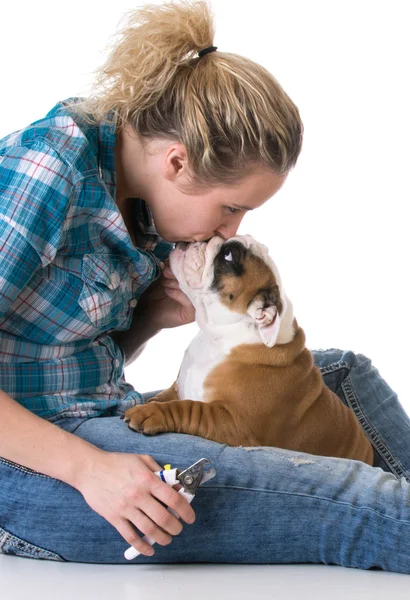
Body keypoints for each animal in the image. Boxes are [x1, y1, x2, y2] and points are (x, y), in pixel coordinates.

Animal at [125, 234, 374, 464]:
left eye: (228, 255)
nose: (203, 238)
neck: (217, 336)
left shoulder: (234, 423)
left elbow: (186, 409)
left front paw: (149, 413)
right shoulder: (178, 387)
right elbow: (164, 397)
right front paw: (149, 404)